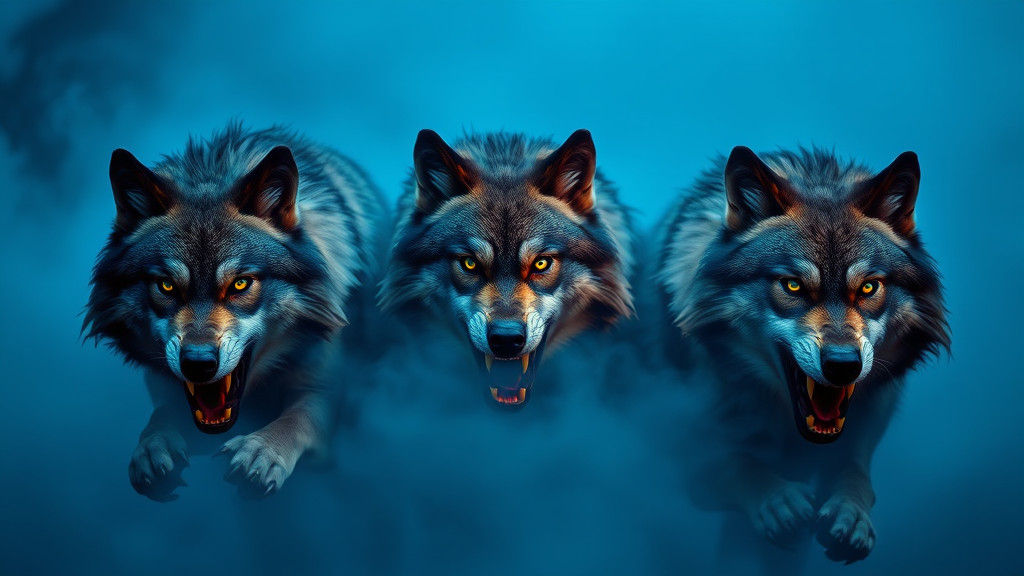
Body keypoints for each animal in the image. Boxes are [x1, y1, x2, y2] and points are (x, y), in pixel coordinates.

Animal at [84, 123, 386, 500]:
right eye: (166, 286)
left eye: (240, 284)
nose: (197, 363)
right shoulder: (162, 383)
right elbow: (161, 415)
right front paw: (152, 447)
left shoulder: (327, 385)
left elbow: (299, 417)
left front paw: (263, 450)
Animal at [658, 146, 949, 564]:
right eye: (792, 285)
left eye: (869, 287)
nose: (844, 365)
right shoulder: (677, 448)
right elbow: (736, 461)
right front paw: (777, 499)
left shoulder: (877, 405)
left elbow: (854, 466)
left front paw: (851, 512)